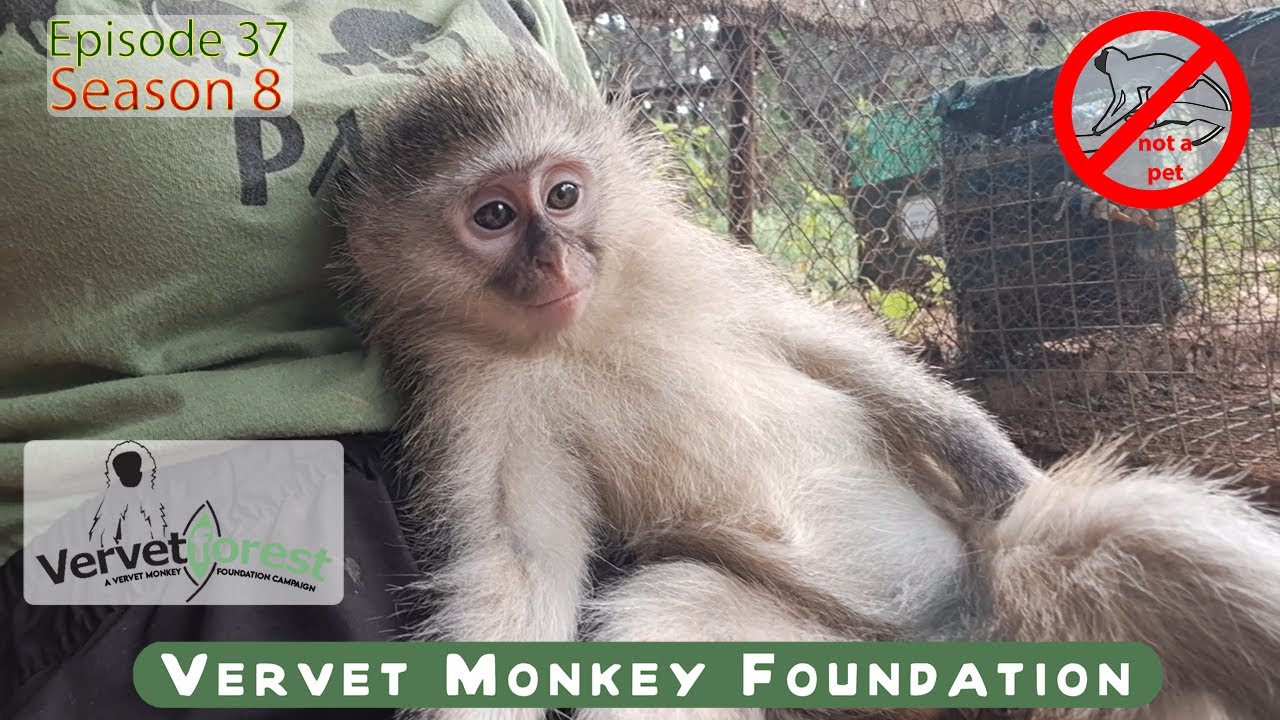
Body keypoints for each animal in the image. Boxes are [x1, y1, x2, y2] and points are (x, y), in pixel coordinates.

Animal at [336, 54, 1280, 720]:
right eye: (495, 216)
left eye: (562, 195)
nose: (553, 262)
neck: (582, 332)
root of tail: (961, 640)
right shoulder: (477, 395)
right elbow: (520, 559)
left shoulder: (693, 264)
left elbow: (830, 351)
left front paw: (995, 464)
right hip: (842, 654)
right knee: (668, 618)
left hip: (1013, 583)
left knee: (1142, 535)